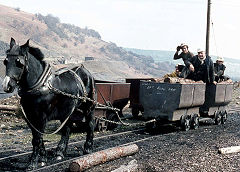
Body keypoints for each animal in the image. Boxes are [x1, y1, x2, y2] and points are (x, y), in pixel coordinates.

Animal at [2, 37, 96, 169]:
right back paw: (60, 152)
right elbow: (38, 138)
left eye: (19, 62)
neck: (39, 86)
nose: (7, 86)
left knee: (90, 125)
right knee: (67, 128)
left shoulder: (41, 117)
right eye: (5, 61)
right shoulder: (30, 117)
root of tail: (84, 70)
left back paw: (87, 148)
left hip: (89, 107)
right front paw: (43, 158)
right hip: (68, 110)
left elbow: (37, 139)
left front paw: (32, 163)